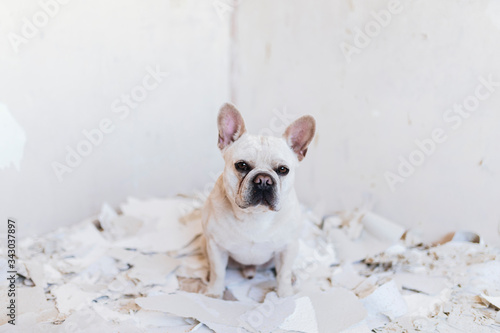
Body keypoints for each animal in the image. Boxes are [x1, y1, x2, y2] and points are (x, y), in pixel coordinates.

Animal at [201, 102, 314, 296]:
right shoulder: (216, 247)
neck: (255, 215)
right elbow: (218, 272)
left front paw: (284, 295)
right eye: (241, 165)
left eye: (283, 170)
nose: (263, 180)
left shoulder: (288, 247)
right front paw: (214, 293)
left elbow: (283, 273)